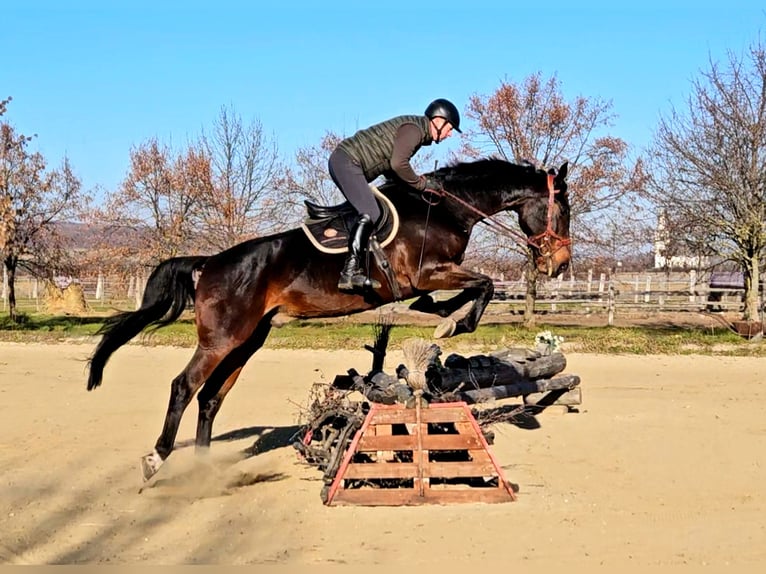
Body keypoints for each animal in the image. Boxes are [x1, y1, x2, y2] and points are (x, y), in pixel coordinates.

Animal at [87, 158, 572, 482]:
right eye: (563, 210)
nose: (560, 265)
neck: (444, 209)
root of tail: (209, 264)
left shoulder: (426, 281)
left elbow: (461, 294)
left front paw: (443, 317)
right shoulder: (426, 273)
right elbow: (484, 285)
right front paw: (452, 323)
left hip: (247, 341)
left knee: (210, 398)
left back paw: (206, 470)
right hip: (221, 339)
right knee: (184, 387)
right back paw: (156, 460)